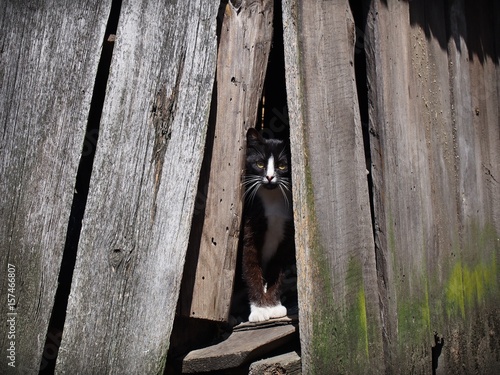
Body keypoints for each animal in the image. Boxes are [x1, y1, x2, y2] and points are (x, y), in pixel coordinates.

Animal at [242, 129, 292, 324]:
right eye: (260, 163)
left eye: (282, 166)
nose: (270, 177)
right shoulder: (250, 232)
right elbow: (251, 269)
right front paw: (259, 310)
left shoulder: (286, 239)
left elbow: (277, 271)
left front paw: (273, 306)